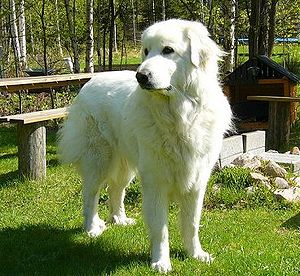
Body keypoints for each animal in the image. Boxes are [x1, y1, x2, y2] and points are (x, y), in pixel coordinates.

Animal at [58, 18, 232, 272]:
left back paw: (119, 219)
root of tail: (91, 81)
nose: (140, 76)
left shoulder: (197, 181)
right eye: (146, 51)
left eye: (168, 50)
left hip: (126, 165)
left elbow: (192, 223)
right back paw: (91, 228)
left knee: (115, 189)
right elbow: (160, 229)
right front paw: (161, 262)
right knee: (91, 194)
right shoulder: (155, 181)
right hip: (99, 160)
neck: (180, 115)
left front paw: (196, 254)